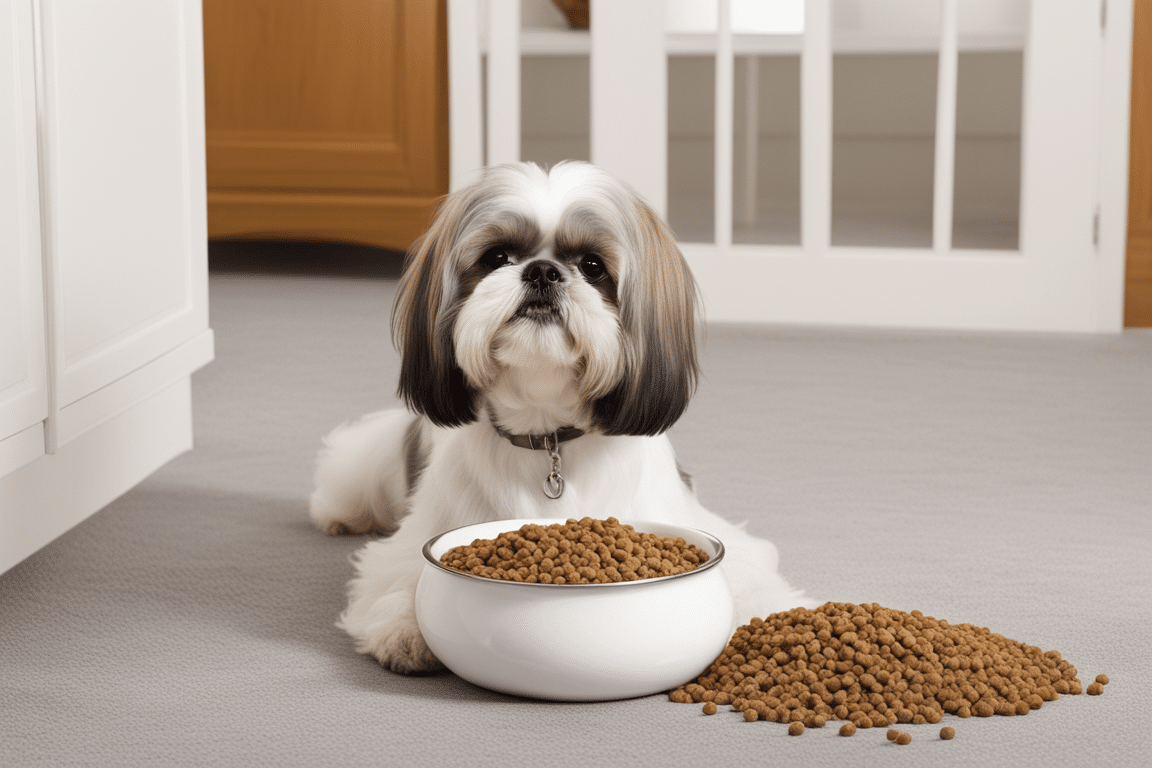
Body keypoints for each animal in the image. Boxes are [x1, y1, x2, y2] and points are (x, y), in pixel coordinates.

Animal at [306, 162, 811, 672]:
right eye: (497, 256)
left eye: (592, 266)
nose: (542, 270)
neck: (547, 432)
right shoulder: (419, 538)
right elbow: (401, 575)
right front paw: (407, 628)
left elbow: (749, 578)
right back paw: (338, 516)